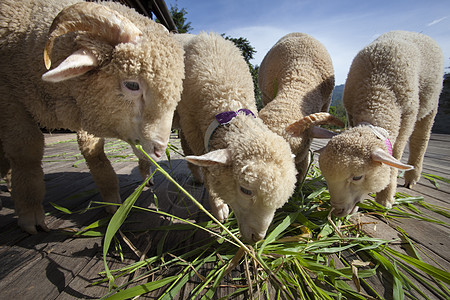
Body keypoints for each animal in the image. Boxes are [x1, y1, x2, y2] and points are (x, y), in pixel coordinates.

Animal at [0, 0, 185, 233]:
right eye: (132, 85)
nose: (160, 151)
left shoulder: (85, 109)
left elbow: (94, 152)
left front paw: (112, 200)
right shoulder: (9, 98)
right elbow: (26, 153)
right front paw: (30, 213)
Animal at [316, 30, 442, 217]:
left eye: (357, 177)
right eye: (325, 175)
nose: (338, 211)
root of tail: (414, 32)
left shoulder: (407, 117)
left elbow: (395, 155)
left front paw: (385, 198)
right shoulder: (351, 112)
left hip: (430, 105)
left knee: (420, 140)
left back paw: (412, 177)